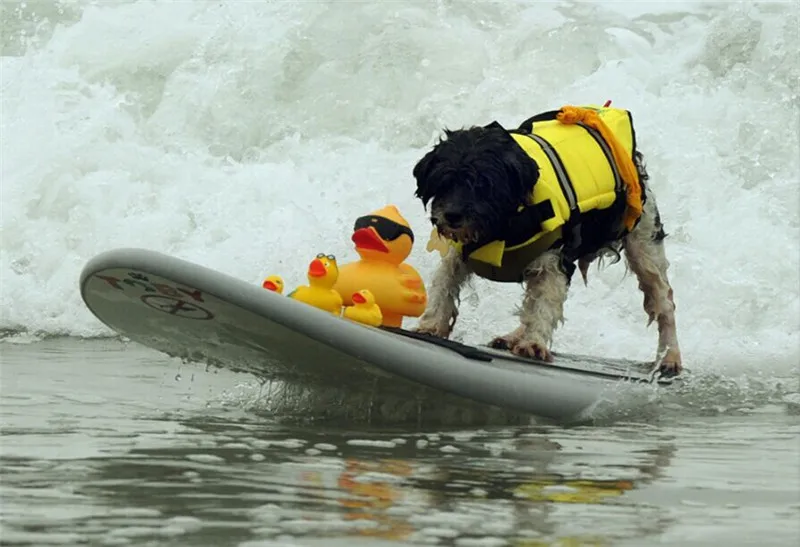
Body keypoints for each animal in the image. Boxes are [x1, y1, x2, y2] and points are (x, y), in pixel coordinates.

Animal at [412, 104, 680, 376]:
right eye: (444, 181)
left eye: (484, 185)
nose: (452, 216)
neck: (502, 227)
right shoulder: (460, 252)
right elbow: (445, 281)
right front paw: (431, 324)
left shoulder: (554, 261)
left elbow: (544, 303)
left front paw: (533, 343)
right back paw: (512, 337)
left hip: (643, 241)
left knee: (663, 299)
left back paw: (670, 357)